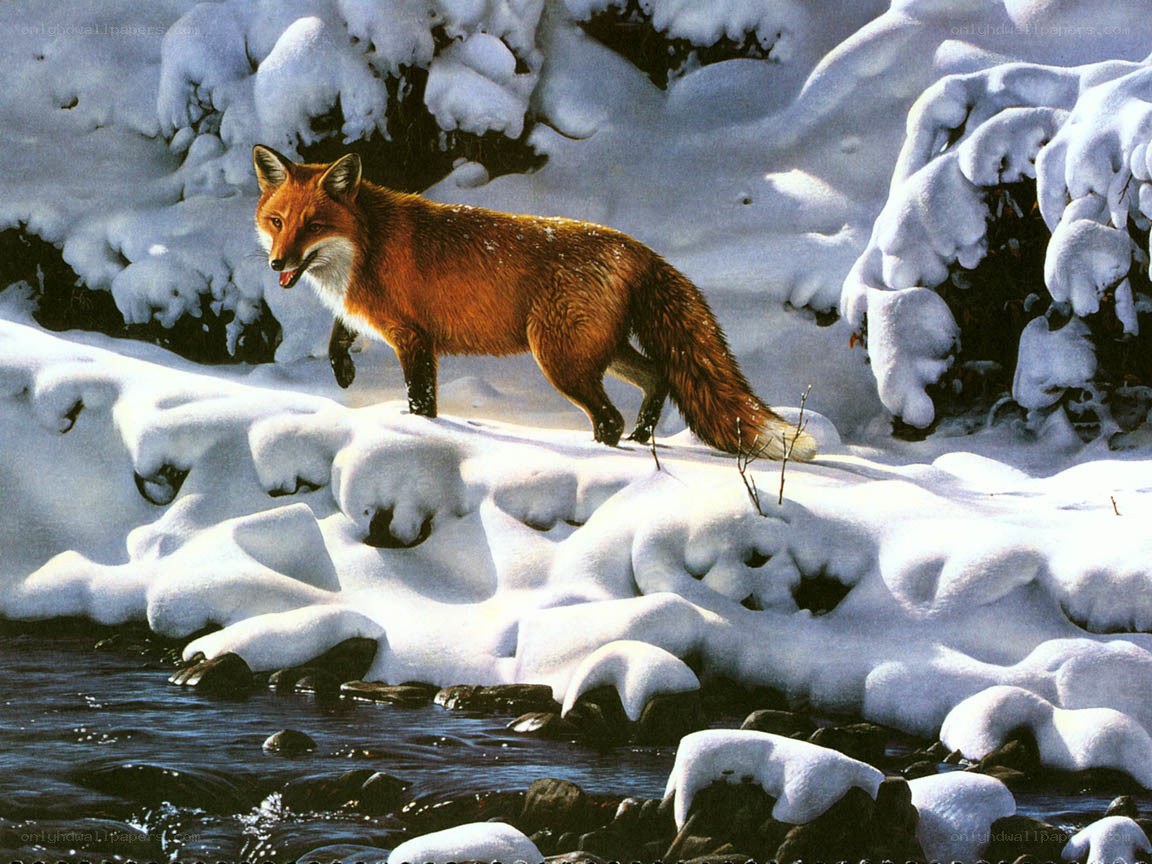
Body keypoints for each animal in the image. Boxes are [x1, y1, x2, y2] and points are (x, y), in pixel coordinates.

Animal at [252, 144, 816, 460]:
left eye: (313, 226)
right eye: (277, 222)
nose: (277, 265)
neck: (365, 244)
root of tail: (636, 246)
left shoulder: (414, 337)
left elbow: (421, 402)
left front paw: (422, 435)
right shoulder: (369, 318)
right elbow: (337, 338)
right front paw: (344, 374)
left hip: (561, 359)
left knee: (609, 417)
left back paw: (606, 453)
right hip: (599, 352)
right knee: (658, 376)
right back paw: (641, 440)